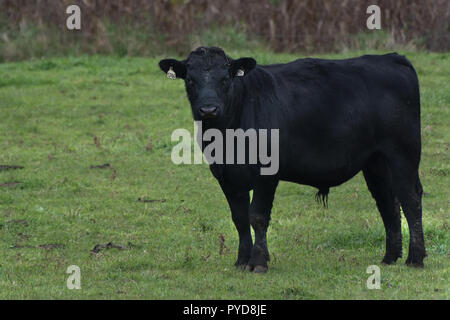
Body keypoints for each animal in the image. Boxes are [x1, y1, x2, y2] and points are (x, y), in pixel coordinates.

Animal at [160, 47, 428, 272]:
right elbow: (239, 218)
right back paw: (390, 257)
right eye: (191, 80)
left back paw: (415, 259)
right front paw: (242, 260)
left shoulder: (267, 173)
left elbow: (257, 216)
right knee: (387, 202)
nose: (208, 110)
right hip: (375, 161)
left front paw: (258, 262)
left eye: (225, 79)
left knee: (411, 199)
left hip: (403, 153)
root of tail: (391, 57)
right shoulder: (226, 175)